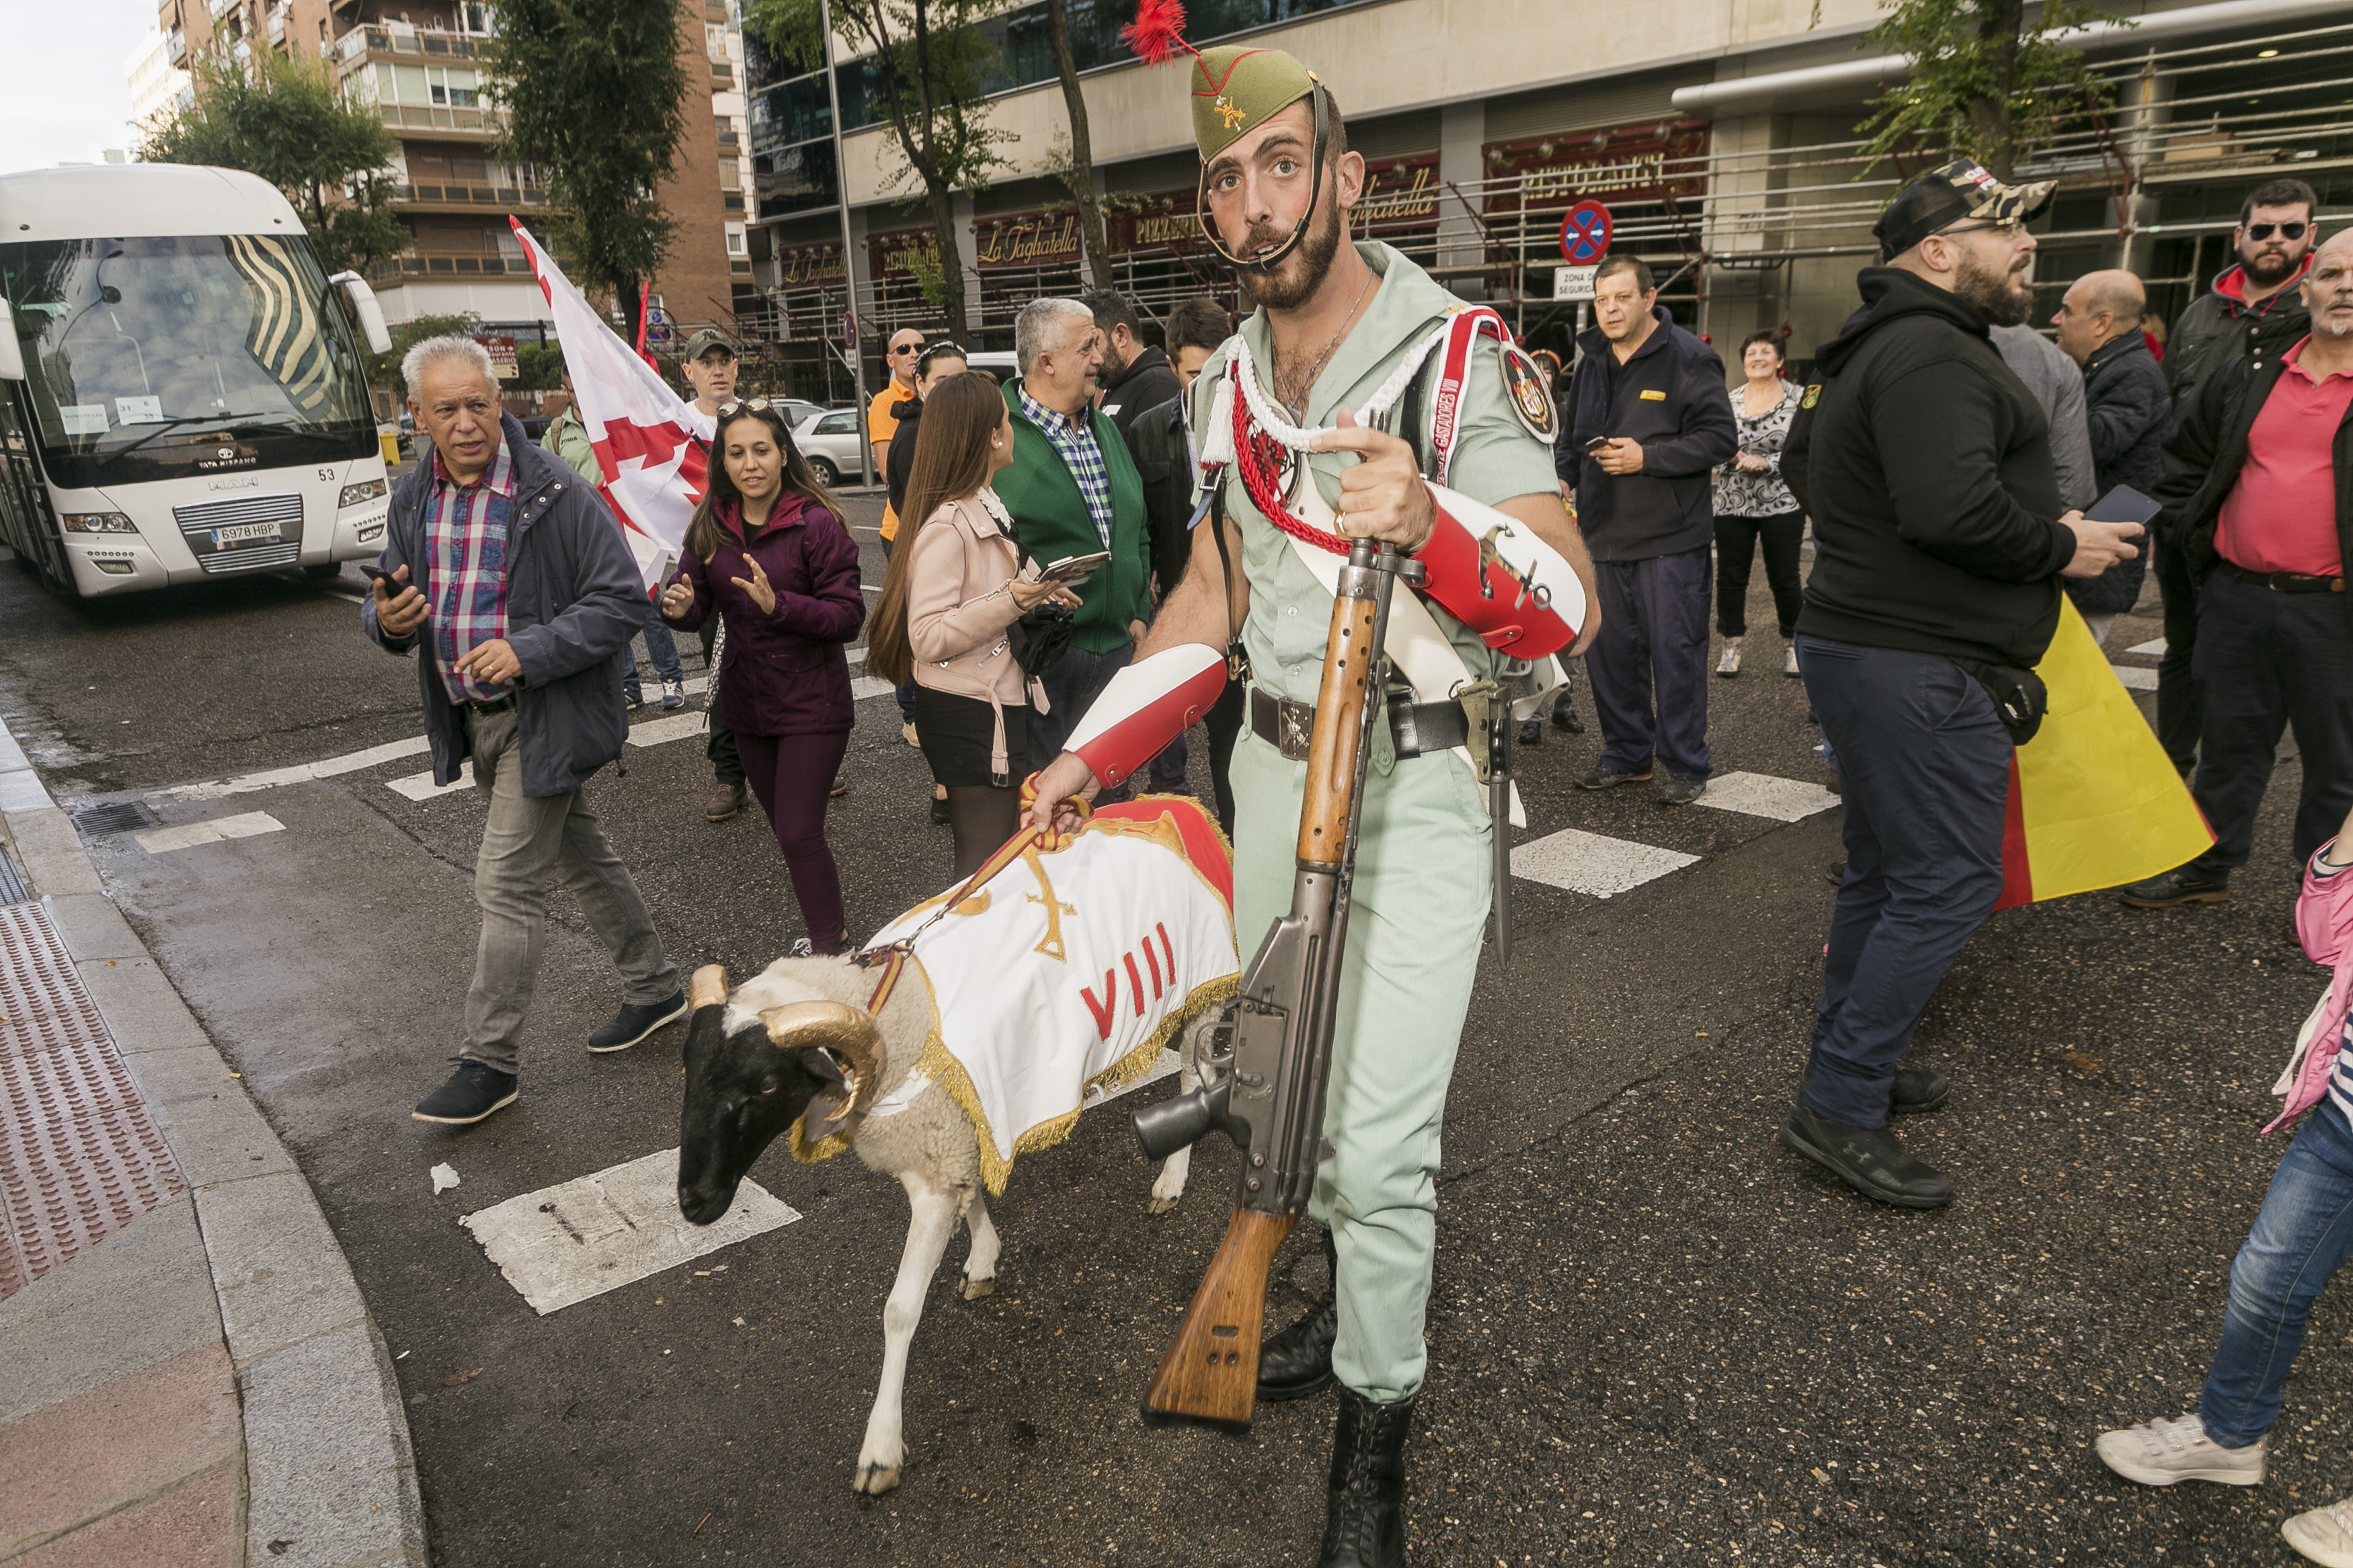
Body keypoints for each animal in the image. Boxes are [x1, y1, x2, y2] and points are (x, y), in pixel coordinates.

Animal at [668, 959, 1205, 1495]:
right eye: (689, 1071)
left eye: (765, 1086)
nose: (695, 1203)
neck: (889, 1009)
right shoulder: (955, 1136)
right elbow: (971, 1194)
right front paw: (984, 1258)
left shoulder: (937, 1165)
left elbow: (899, 1311)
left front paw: (881, 1448)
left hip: (1206, 996)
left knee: (1197, 1072)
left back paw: (1173, 1177)